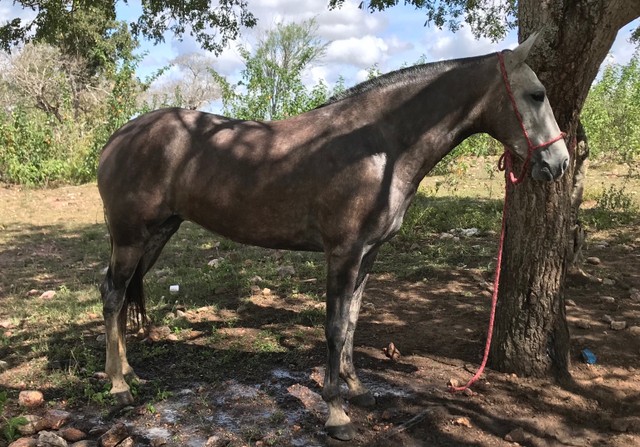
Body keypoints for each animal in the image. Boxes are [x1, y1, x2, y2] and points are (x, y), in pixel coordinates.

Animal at [96, 33, 568, 442]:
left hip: (156, 235)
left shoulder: (368, 254)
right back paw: (118, 386)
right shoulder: (342, 253)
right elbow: (336, 326)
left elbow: (354, 321)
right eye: (536, 94)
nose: (559, 163)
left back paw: (129, 372)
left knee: (119, 292)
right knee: (112, 295)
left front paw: (356, 389)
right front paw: (337, 412)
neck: (378, 146)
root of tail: (117, 138)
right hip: (131, 238)